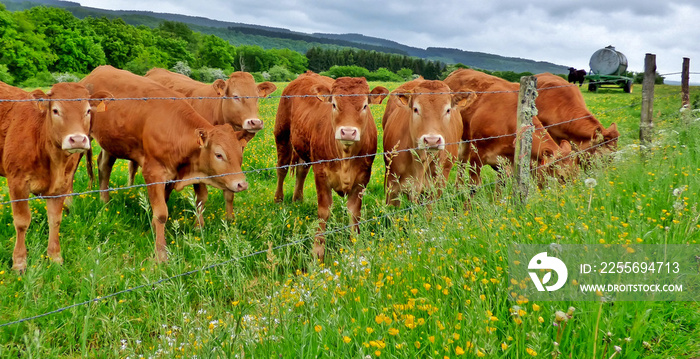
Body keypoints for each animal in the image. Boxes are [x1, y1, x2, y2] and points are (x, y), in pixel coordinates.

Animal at [0, 82, 109, 272]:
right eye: (56, 110)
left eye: (88, 110)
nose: (78, 140)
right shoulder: (17, 182)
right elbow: (22, 222)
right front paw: (19, 262)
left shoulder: (61, 186)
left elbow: (55, 220)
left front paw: (55, 257)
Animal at [80, 67, 249, 262]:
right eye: (219, 154)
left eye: (240, 154)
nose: (242, 184)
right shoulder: (153, 173)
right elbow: (161, 213)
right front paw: (161, 254)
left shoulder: (171, 175)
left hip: (112, 143)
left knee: (104, 166)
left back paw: (104, 201)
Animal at [144, 66, 276, 221]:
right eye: (235, 96)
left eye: (257, 98)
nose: (255, 122)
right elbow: (201, 196)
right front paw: (198, 224)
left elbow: (230, 191)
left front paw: (230, 221)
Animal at [274, 71, 392, 262]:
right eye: (334, 104)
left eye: (365, 105)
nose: (348, 132)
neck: (345, 156)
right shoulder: (321, 173)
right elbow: (324, 212)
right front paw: (318, 251)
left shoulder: (363, 177)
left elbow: (354, 212)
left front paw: (356, 244)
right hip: (282, 135)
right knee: (282, 168)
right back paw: (278, 199)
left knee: (301, 171)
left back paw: (297, 198)